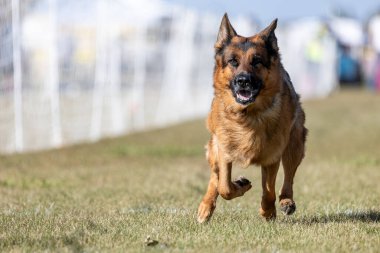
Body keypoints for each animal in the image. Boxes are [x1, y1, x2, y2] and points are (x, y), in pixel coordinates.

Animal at [197, 14, 308, 223]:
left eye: (256, 61)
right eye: (233, 61)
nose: (243, 81)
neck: (248, 115)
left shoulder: (272, 156)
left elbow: (269, 191)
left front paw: (268, 211)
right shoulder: (224, 150)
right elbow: (224, 186)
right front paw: (240, 185)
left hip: (295, 144)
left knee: (288, 177)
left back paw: (286, 201)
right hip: (214, 147)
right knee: (215, 177)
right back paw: (206, 206)